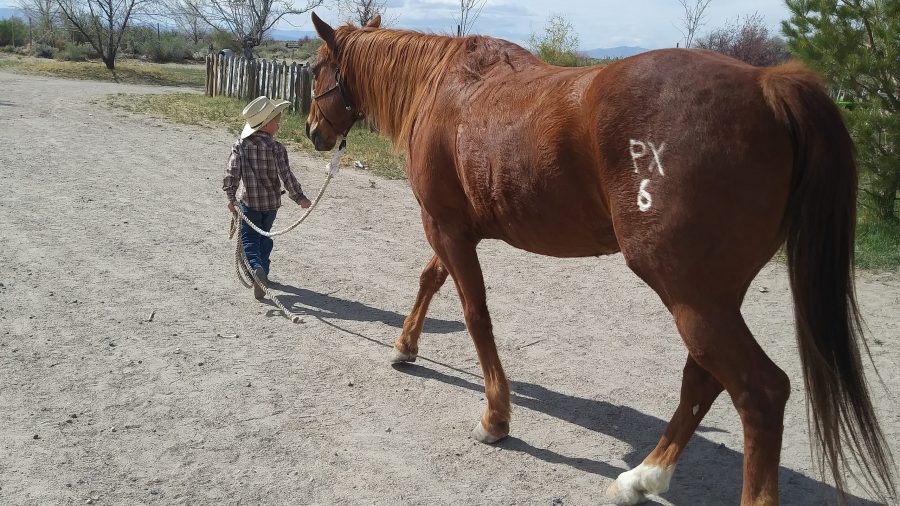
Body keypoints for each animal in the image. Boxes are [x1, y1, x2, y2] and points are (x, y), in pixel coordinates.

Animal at [304, 13, 896, 505]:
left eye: (314, 68)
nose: (312, 131)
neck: (446, 87)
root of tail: (767, 86)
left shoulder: (446, 227)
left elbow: (475, 315)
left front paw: (496, 417)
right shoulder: (454, 231)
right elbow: (430, 279)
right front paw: (405, 346)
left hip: (689, 294)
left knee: (760, 392)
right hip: (711, 296)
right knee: (703, 378)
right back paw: (643, 477)